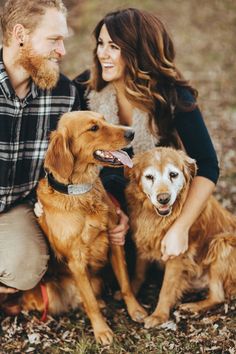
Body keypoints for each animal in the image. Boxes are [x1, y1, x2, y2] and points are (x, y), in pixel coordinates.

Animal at [22, 110, 148, 342]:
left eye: (105, 120)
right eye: (93, 128)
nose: (132, 132)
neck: (81, 193)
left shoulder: (115, 241)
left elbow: (125, 284)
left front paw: (135, 309)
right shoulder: (76, 261)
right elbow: (89, 302)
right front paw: (102, 330)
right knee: (82, 299)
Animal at [126, 147, 236, 330]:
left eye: (173, 174)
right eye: (149, 177)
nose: (163, 199)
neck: (157, 217)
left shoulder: (176, 255)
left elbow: (166, 288)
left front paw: (158, 315)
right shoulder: (144, 241)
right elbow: (139, 271)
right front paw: (130, 290)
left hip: (221, 243)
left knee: (218, 297)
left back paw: (192, 307)